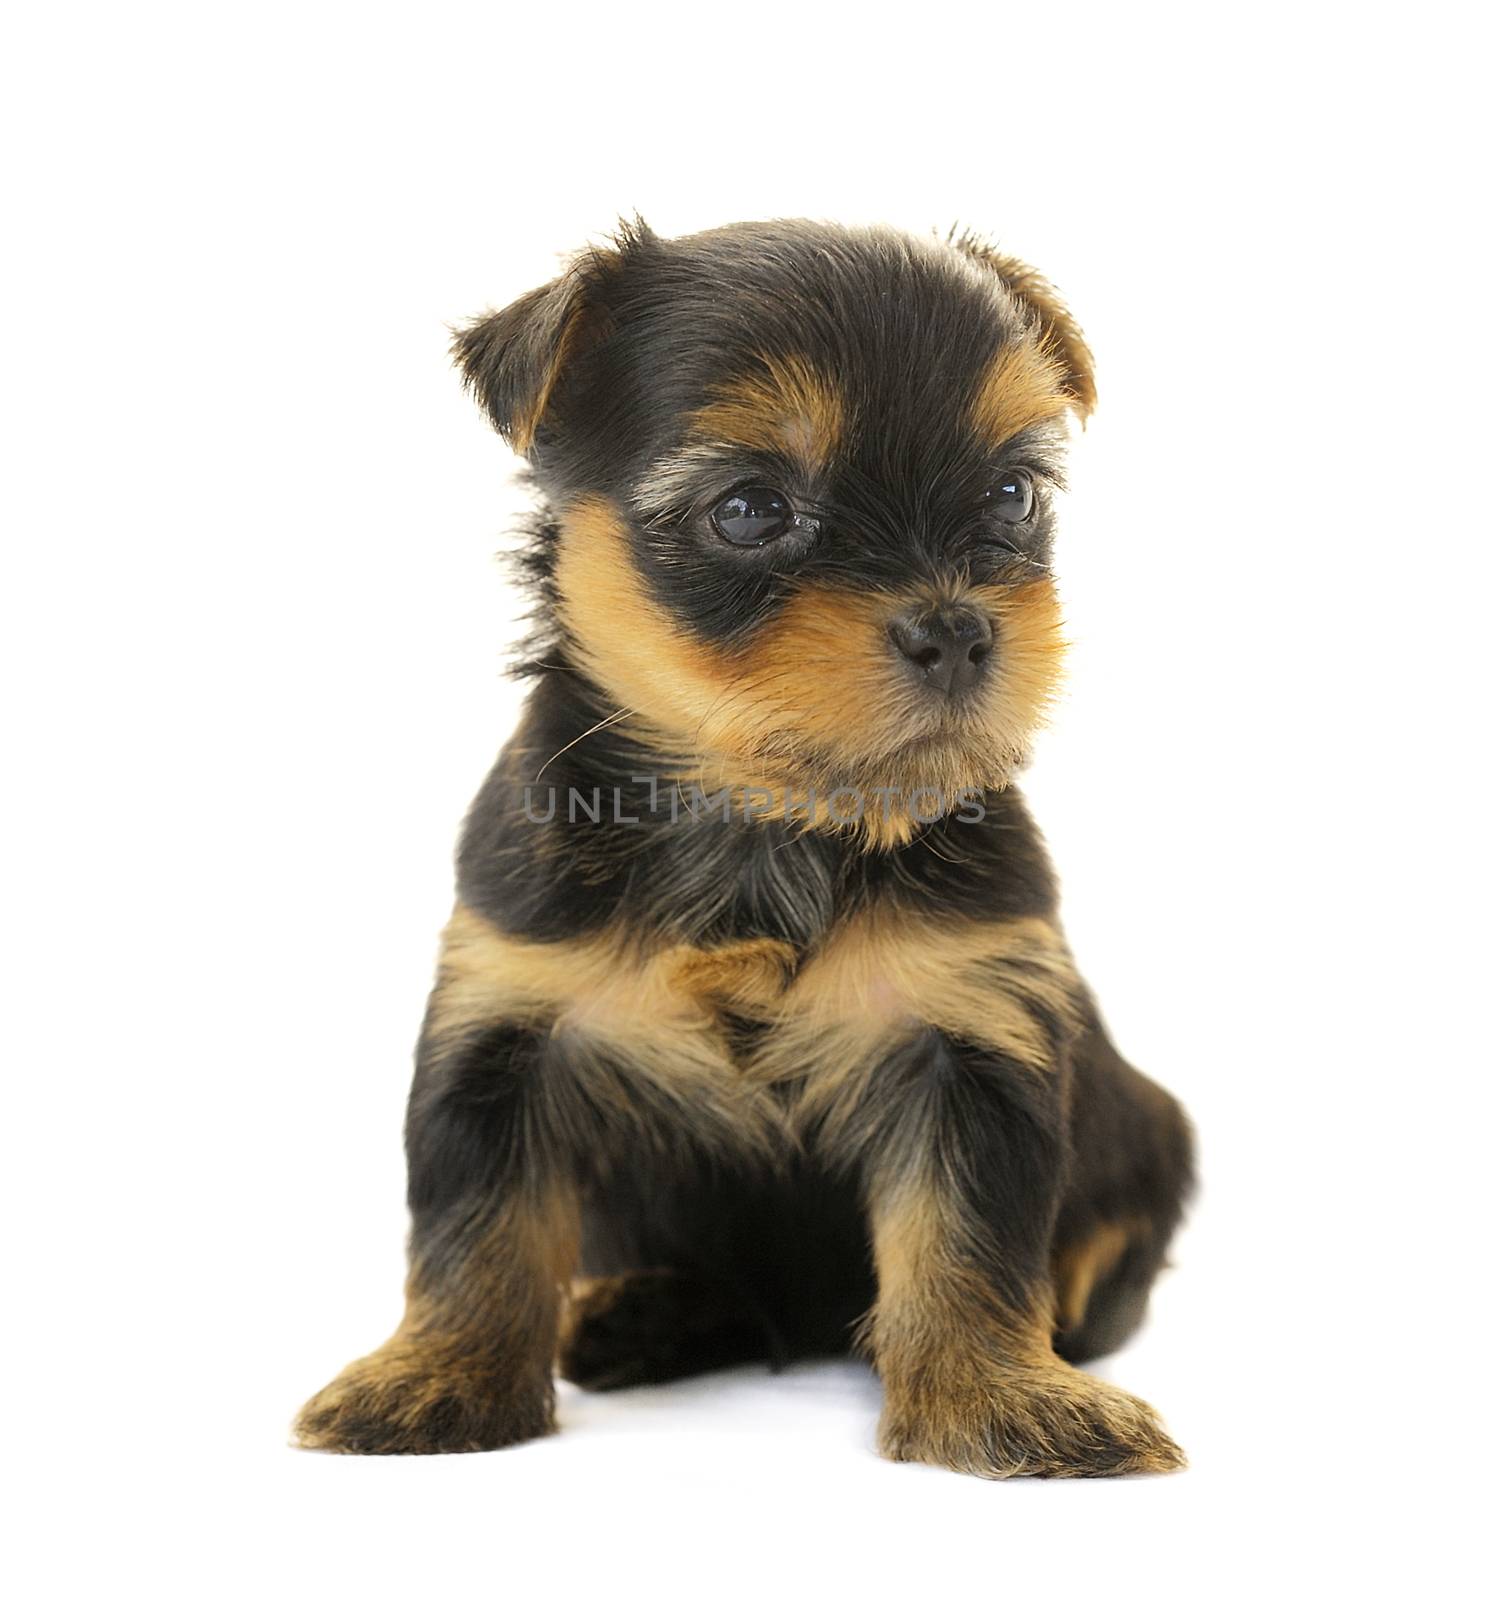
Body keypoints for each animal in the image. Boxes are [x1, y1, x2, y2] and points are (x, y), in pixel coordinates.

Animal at [295, 222, 1196, 1472]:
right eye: (750, 510)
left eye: (1013, 493)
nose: (958, 627)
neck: (766, 820)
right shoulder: (504, 1019)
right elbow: (477, 1224)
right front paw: (438, 1377)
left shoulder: (968, 1029)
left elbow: (967, 1235)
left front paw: (995, 1399)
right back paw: (639, 1311)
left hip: (1150, 1129)